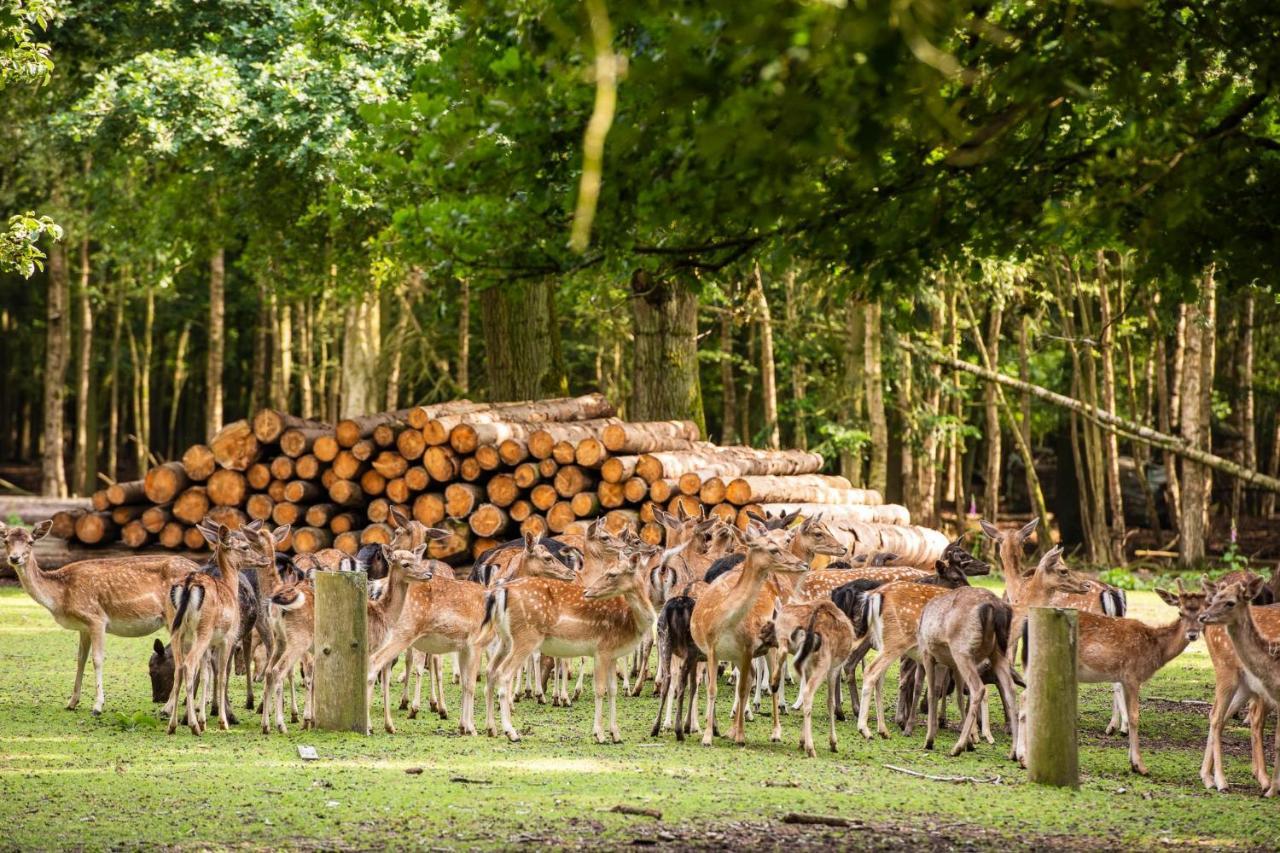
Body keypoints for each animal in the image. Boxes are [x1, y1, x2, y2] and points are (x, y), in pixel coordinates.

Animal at [0, 514, 199, 712]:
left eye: (31, 541)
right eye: (6, 540)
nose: (14, 558)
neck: (61, 597)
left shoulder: (96, 618)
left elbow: (97, 659)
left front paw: (97, 705)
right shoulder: (83, 627)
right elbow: (80, 659)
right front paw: (72, 702)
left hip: (175, 618)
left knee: (181, 662)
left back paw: (168, 708)